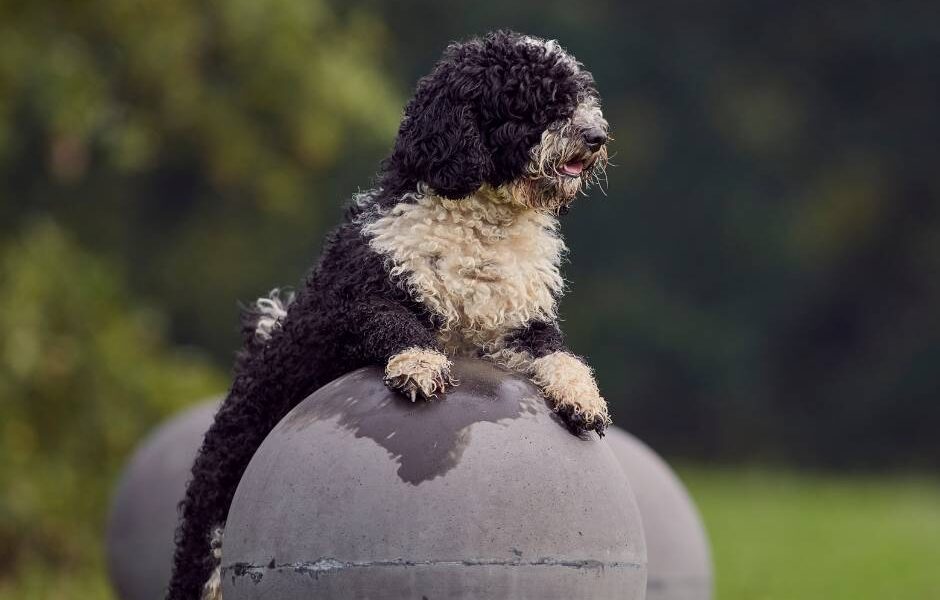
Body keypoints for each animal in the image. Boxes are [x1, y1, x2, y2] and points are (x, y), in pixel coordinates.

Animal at [166, 30, 612, 596]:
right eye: (531, 101)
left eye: (576, 94)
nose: (596, 134)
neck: (483, 226)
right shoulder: (359, 301)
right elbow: (397, 324)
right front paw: (420, 366)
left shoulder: (517, 325)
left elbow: (561, 355)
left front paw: (583, 397)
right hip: (210, 537)